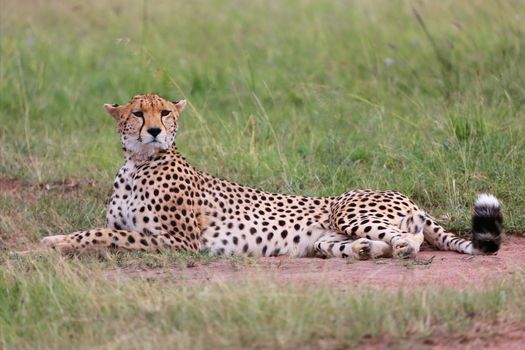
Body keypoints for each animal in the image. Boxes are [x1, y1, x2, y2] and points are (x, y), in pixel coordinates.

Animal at [40, 93, 500, 260]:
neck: (138, 163)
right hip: (326, 237)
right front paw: (56, 241)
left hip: (351, 210)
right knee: (367, 244)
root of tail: (405, 196)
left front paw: (53, 242)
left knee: (411, 237)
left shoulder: (177, 242)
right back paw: (364, 251)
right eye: (138, 113)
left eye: (165, 112)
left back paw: (399, 249)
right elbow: (105, 230)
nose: (154, 130)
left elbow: (99, 233)